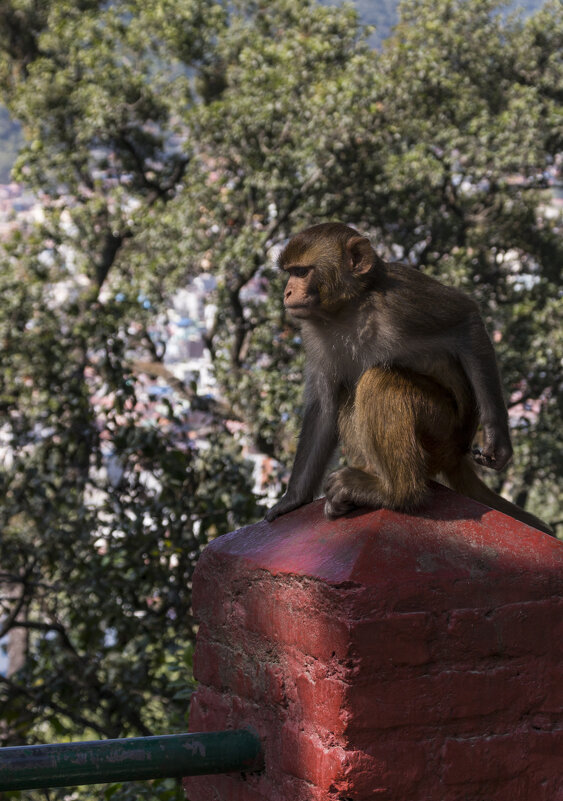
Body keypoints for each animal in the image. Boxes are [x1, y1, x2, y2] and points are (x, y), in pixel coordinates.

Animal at [266, 222, 552, 536]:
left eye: (302, 272)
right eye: (290, 272)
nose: (287, 292)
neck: (350, 309)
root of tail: (456, 454)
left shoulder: (403, 299)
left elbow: (466, 321)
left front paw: (496, 437)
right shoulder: (315, 334)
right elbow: (324, 407)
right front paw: (292, 499)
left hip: (441, 433)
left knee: (379, 381)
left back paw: (396, 492)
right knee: (350, 393)